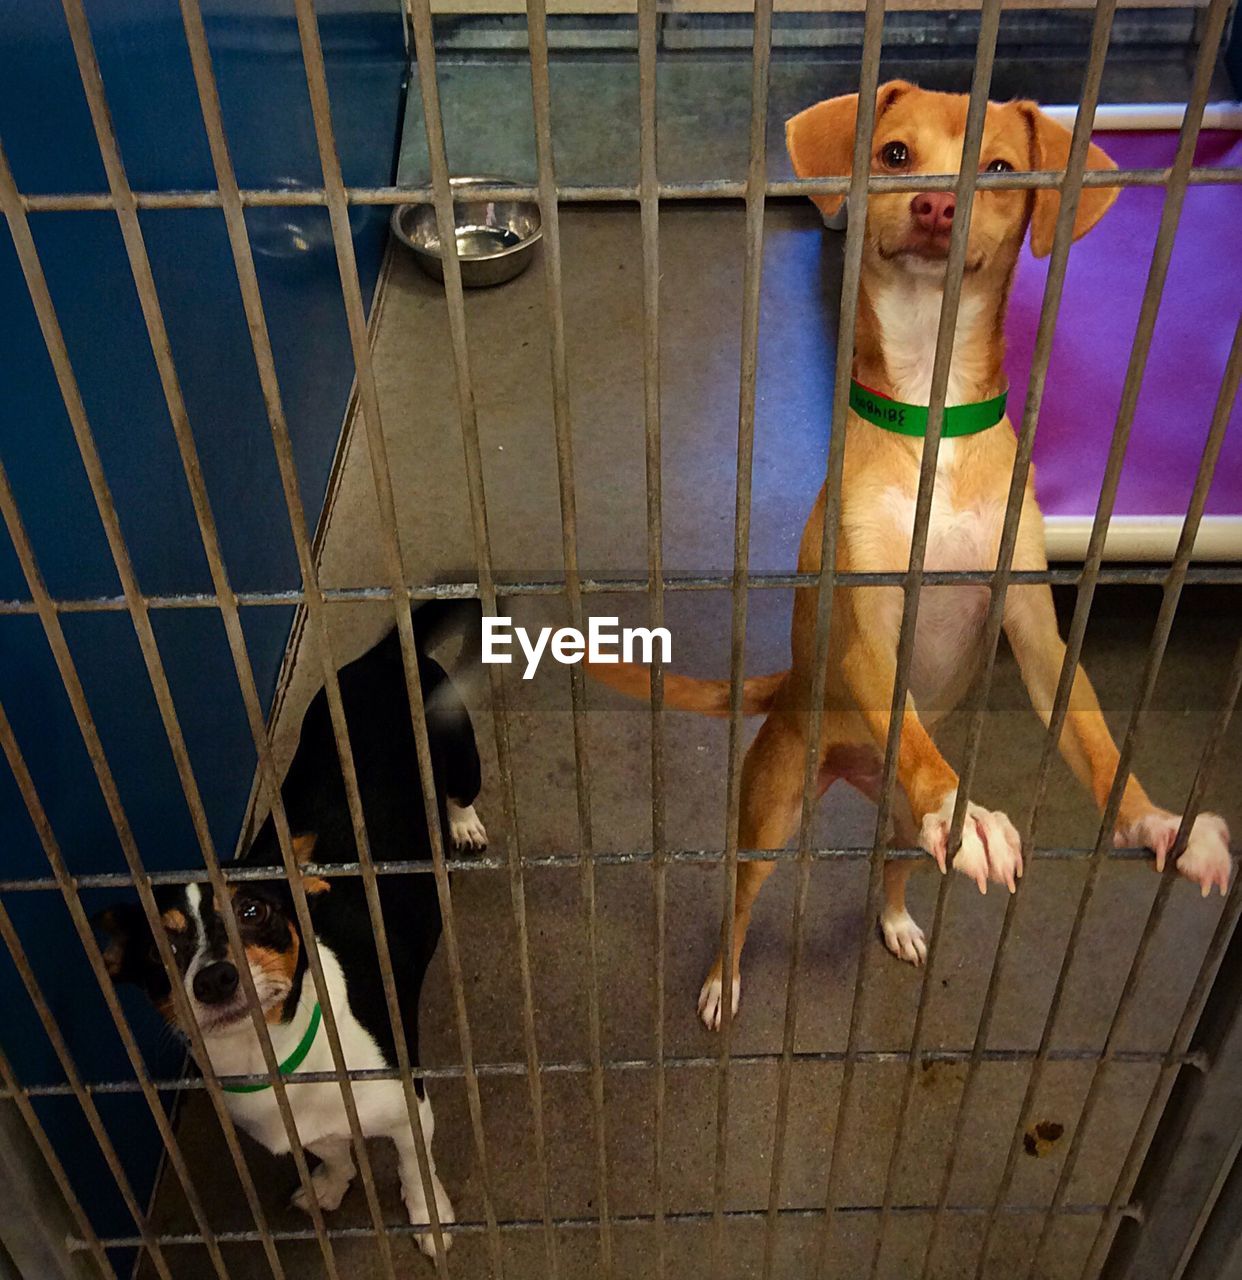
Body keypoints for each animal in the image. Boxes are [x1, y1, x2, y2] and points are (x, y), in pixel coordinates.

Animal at [95, 604, 483, 1254]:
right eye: (159, 947)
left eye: (254, 911)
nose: (216, 979)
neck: (276, 1057)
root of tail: (382, 657)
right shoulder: (306, 1131)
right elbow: (333, 1153)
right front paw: (329, 1186)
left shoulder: (408, 1108)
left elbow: (414, 1168)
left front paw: (429, 1219)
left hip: (460, 756)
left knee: (459, 794)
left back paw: (464, 825)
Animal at [591, 82, 1229, 1029]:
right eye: (894, 154)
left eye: (1000, 168)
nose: (936, 205)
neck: (935, 417)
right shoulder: (868, 627)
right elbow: (918, 734)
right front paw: (964, 811)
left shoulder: (1037, 630)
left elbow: (1096, 739)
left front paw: (1158, 826)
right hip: (770, 815)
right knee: (741, 900)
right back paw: (724, 979)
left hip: (888, 828)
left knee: (892, 865)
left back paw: (897, 917)